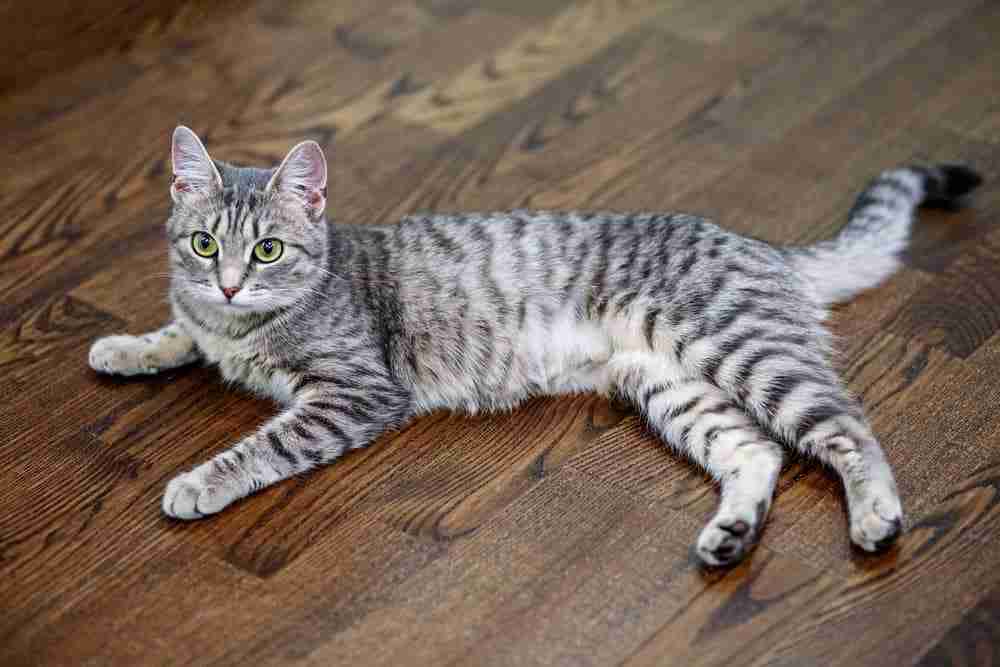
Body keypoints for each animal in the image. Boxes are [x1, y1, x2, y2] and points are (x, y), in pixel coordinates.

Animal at [88, 126, 984, 568]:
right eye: (205, 244)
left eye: (268, 251)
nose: (230, 283)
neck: (248, 325)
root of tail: (760, 245)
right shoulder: (207, 317)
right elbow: (179, 329)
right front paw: (127, 346)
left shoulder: (353, 391)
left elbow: (259, 446)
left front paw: (198, 481)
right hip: (672, 387)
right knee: (757, 452)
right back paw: (729, 535)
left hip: (744, 350)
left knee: (848, 427)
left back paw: (877, 516)